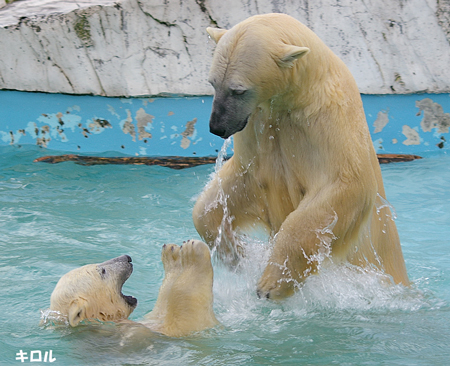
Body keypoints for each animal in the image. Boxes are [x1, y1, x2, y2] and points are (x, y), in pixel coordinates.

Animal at [192, 13, 410, 300]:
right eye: (213, 83)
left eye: (238, 90)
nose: (217, 126)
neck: (297, 94)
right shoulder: (259, 125)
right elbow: (237, 184)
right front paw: (236, 254)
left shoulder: (324, 121)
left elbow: (343, 184)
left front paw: (272, 282)